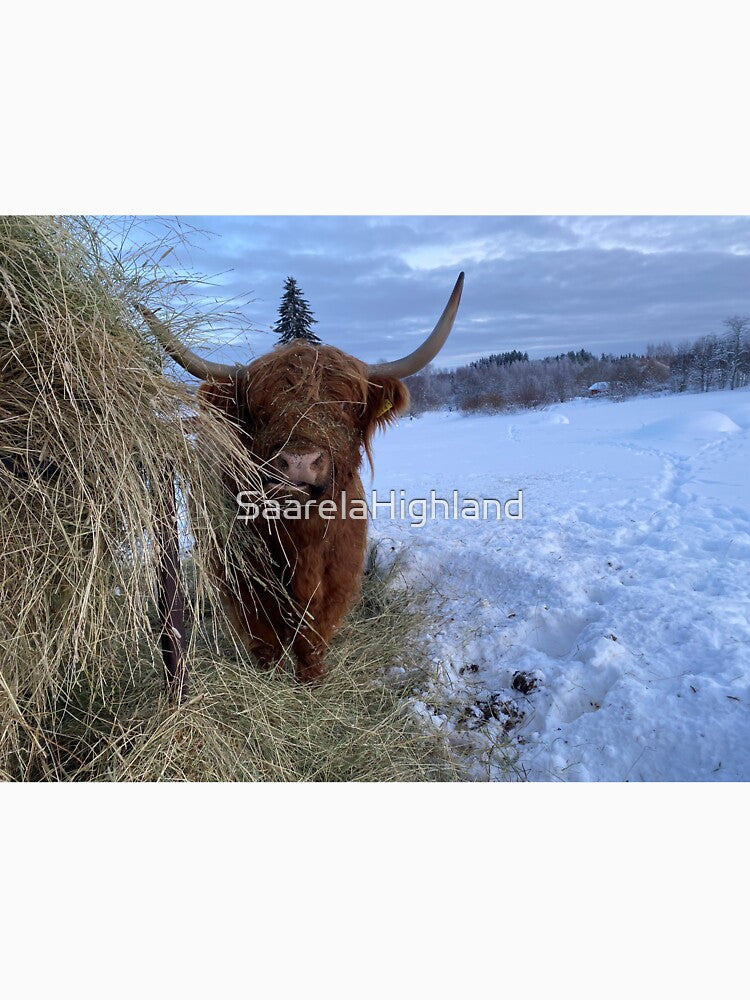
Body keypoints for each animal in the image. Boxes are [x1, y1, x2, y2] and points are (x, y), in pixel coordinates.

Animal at [141, 273, 463, 682]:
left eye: (345, 406)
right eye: (259, 409)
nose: (299, 461)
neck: (301, 540)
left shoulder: (338, 579)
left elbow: (312, 640)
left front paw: (312, 679)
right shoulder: (244, 584)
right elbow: (268, 642)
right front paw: (275, 678)